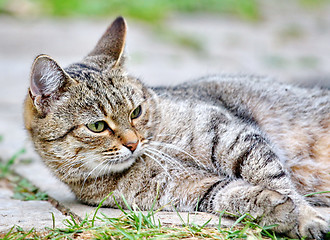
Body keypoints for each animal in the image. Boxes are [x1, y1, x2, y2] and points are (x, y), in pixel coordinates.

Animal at [23, 16, 328, 238]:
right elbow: (235, 194)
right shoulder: (193, 189)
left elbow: (276, 180)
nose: (133, 143)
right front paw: (281, 214)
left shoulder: (233, 136)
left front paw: (305, 216)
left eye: (136, 111)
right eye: (97, 126)